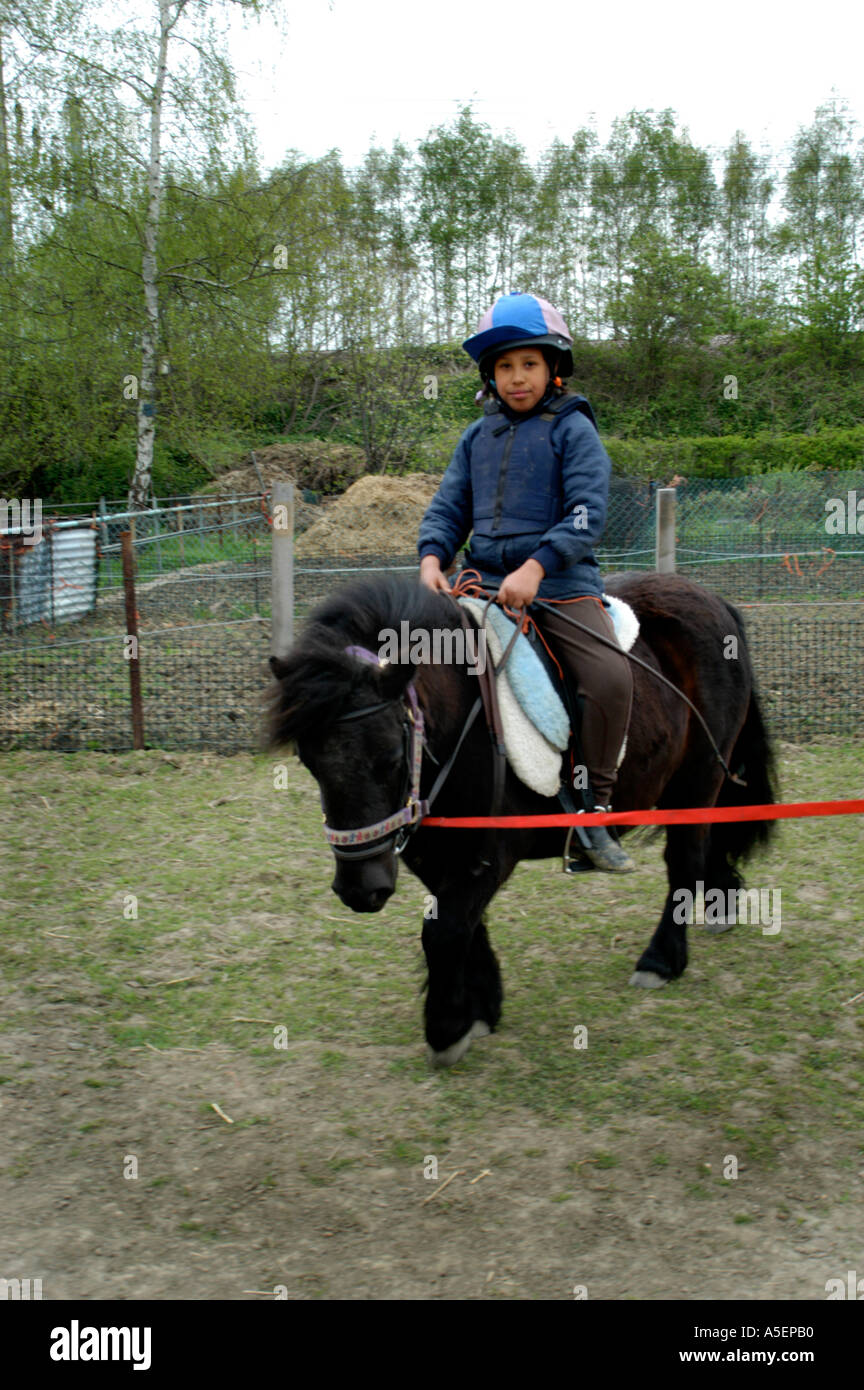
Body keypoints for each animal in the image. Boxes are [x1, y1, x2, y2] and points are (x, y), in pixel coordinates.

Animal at [269, 569, 777, 1067]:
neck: (462, 722)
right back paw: (721, 901)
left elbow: (444, 930)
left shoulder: (493, 850)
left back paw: (661, 960)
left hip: (700, 774)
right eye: (308, 762)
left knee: (684, 859)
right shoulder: (437, 850)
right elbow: (464, 925)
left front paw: (446, 1029)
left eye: (391, 757)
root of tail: (712, 598)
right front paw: (481, 1008)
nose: (360, 890)